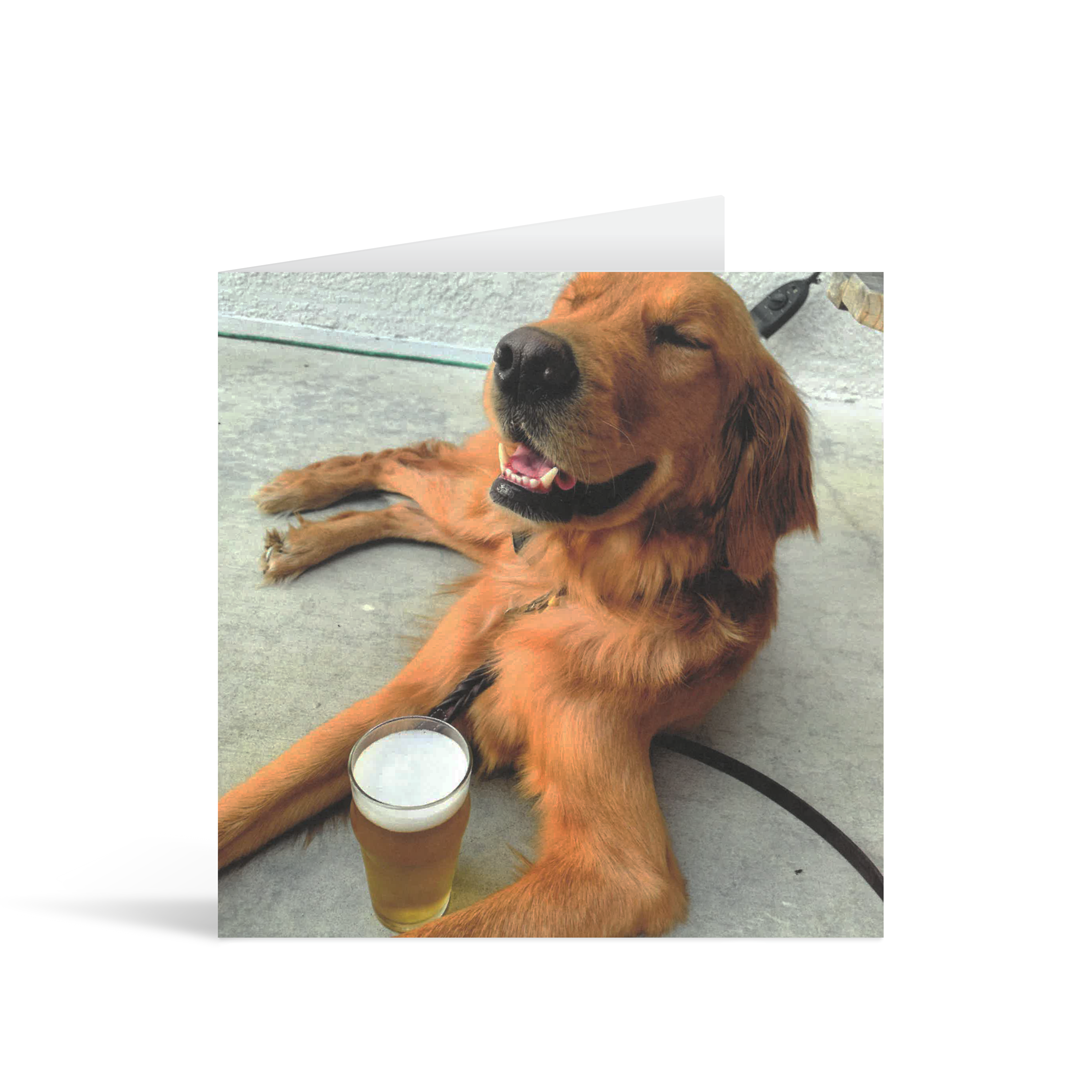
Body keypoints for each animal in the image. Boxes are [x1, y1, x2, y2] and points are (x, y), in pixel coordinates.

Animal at [214, 272, 812, 937]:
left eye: (683, 337)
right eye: (575, 301)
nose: (525, 358)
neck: (571, 586)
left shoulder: (619, 871)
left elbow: (442, 931)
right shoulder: (409, 698)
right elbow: (249, 801)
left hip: (485, 525)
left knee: (410, 504)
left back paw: (305, 536)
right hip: (480, 505)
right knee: (406, 462)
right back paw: (302, 492)